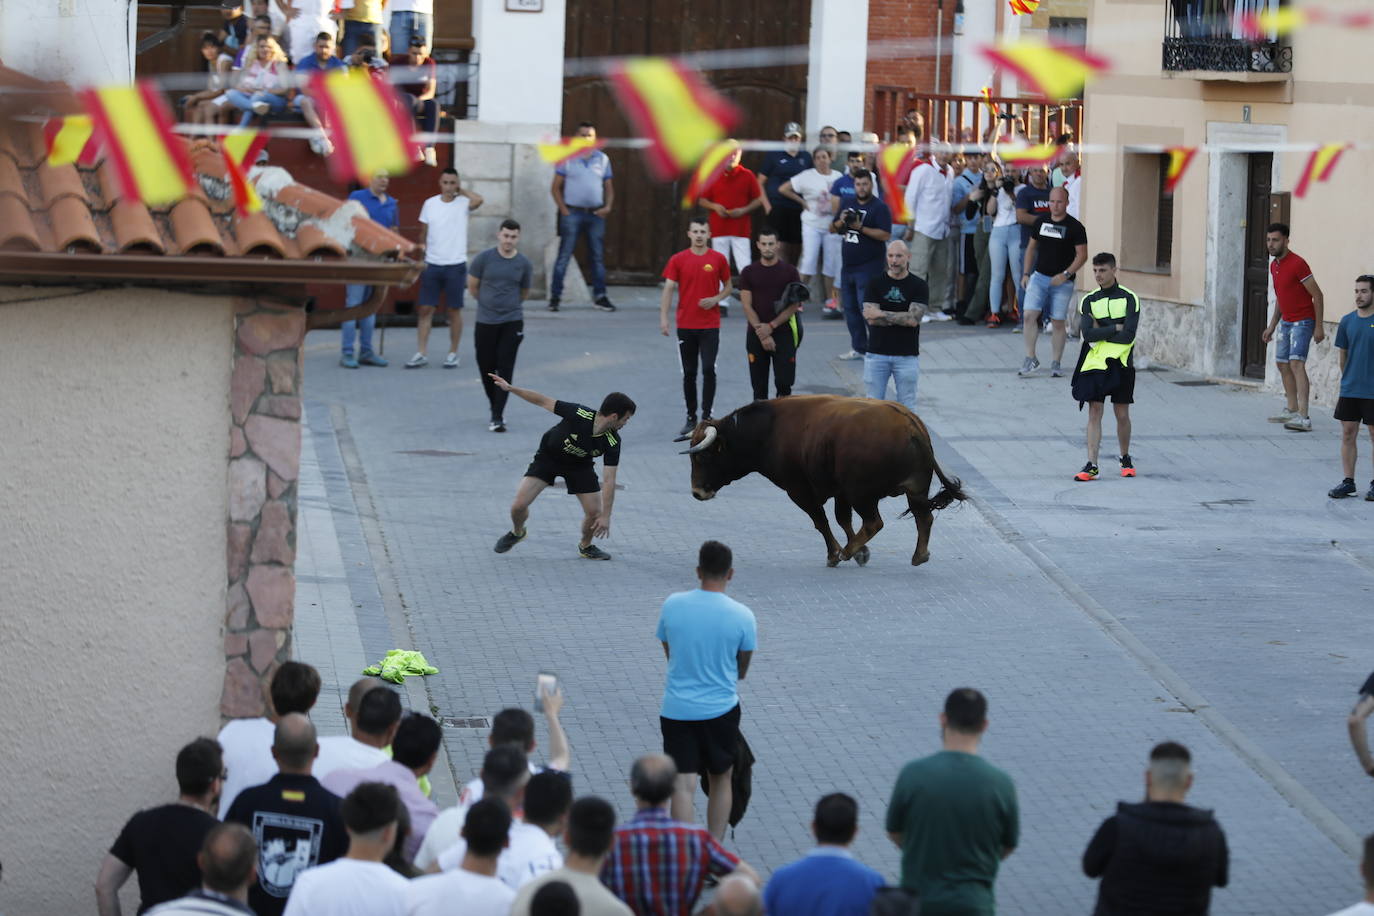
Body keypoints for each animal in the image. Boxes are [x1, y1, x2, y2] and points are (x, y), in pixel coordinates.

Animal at [678, 398, 967, 568]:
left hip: (862, 493)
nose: (696, 492)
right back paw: (919, 555)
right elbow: (842, 519)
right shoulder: (840, 491)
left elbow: (821, 521)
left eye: (703, 456)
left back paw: (848, 552)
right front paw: (861, 552)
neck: (770, 430)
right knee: (923, 518)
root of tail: (910, 423)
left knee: (874, 522)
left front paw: (835, 553)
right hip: (915, 489)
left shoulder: (799, 490)